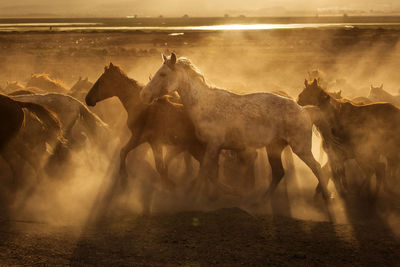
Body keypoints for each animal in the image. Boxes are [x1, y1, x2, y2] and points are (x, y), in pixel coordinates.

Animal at [86, 62, 258, 191]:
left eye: (101, 81)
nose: (88, 99)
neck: (141, 106)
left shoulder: (146, 139)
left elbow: (130, 155)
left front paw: (125, 177)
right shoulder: (150, 140)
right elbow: (155, 163)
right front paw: (167, 183)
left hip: (199, 147)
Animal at [141, 52, 332, 203]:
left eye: (163, 74)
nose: (144, 94)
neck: (206, 105)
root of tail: (304, 111)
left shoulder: (213, 146)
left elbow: (205, 171)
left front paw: (193, 195)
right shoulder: (212, 148)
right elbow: (211, 173)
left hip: (301, 148)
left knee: (316, 167)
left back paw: (327, 197)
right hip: (274, 148)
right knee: (278, 172)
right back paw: (260, 200)